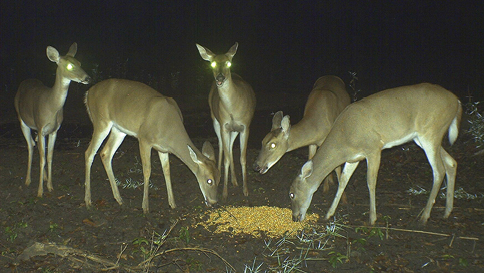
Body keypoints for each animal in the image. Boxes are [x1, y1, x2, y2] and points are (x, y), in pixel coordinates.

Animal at [14, 42, 91, 196]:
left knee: (35, 144)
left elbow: (49, 157)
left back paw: (42, 178)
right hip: (22, 120)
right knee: (30, 146)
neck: (51, 106)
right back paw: (28, 180)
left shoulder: (54, 130)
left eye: (79, 63)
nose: (87, 78)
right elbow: (42, 158)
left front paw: (50, 186)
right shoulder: (41, 127)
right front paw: (40, 192)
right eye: (69, 66)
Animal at [84, 77, 220, 211]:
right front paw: (145, 207)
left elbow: (167, 170)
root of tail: (88, 93)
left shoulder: (163, 148)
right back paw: (88, 201)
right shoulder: (144, 138)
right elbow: (147, 170)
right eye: (209, 181)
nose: (213, 202)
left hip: (119, 130)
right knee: (89, 153)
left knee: (105, 153)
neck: (170, 128)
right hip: (101, 121)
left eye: (219, 179)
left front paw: (172, 203)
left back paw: (119, 199)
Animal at [196, 43, 258, 199]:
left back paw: (234, 181)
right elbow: (226, 158)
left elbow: (242, 157)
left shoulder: (245, 126)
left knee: (229, 148)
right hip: (215, 120)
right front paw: (224, 192)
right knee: (222, 147)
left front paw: (245, 190)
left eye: (228, 63)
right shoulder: (224, 125)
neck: (233, 108)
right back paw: (220, 175)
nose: (220, 77)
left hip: (234, 130)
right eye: (212, 64)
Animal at [290, 82, 464, 223]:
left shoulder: (373, 148)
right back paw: (447, 212)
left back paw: (424, 216)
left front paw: (372, 218)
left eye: (291, 194)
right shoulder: (354, 158)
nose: (294, 217)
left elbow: (370, 181)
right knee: (451, 163)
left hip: (430, 132)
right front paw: (328, 214)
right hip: (424, 138)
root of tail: (457, 101)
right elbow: (343, 181)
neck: (344, 139)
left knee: (439, 170)